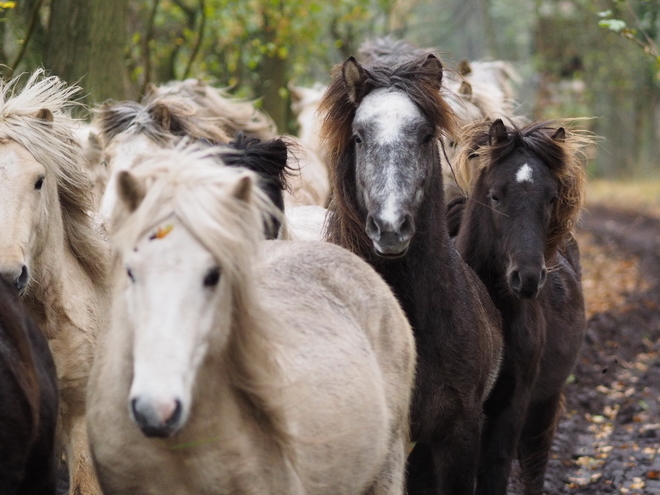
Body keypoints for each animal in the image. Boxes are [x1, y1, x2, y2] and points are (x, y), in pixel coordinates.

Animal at [454, 120, 588, 495]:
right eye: (495, 196)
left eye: (551, 198)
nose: (527, 278)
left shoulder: (512, 407)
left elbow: (495, 473)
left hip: (544, 405)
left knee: (534, 466)